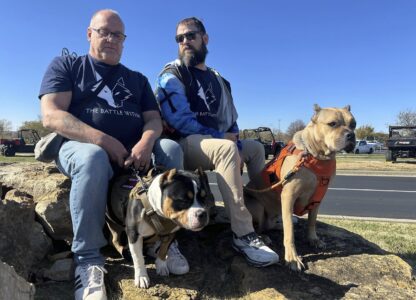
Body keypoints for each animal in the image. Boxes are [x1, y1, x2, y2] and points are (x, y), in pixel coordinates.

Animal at [245, 105, 356, 272]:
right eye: (332, 124)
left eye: (353, 124)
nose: (351, 135)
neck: (317, 156)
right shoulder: (288, 196)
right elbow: (289, 231)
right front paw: (292, 257)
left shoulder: (317, 199)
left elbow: (312, 220)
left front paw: (313, 239)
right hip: (257, 207)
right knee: (258, 227)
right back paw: (263, 236)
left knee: (271, 224)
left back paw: (278, 226)